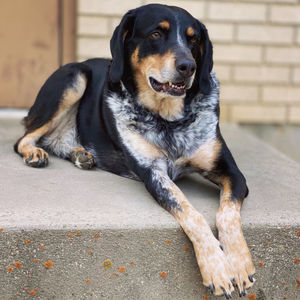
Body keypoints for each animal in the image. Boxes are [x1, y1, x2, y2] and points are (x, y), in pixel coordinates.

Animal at [14, 3, 255, 298]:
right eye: (156, 34)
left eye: (193, 39)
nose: (189, 66)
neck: (168, 119)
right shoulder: (154, 174)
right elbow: (192, 213)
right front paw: (217, 267)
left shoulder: (231, 172)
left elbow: (227, 213)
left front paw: (239, 264)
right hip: (74, 78)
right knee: (25, 137)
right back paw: (35, 153)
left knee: (56, 140)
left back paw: (81, 154)